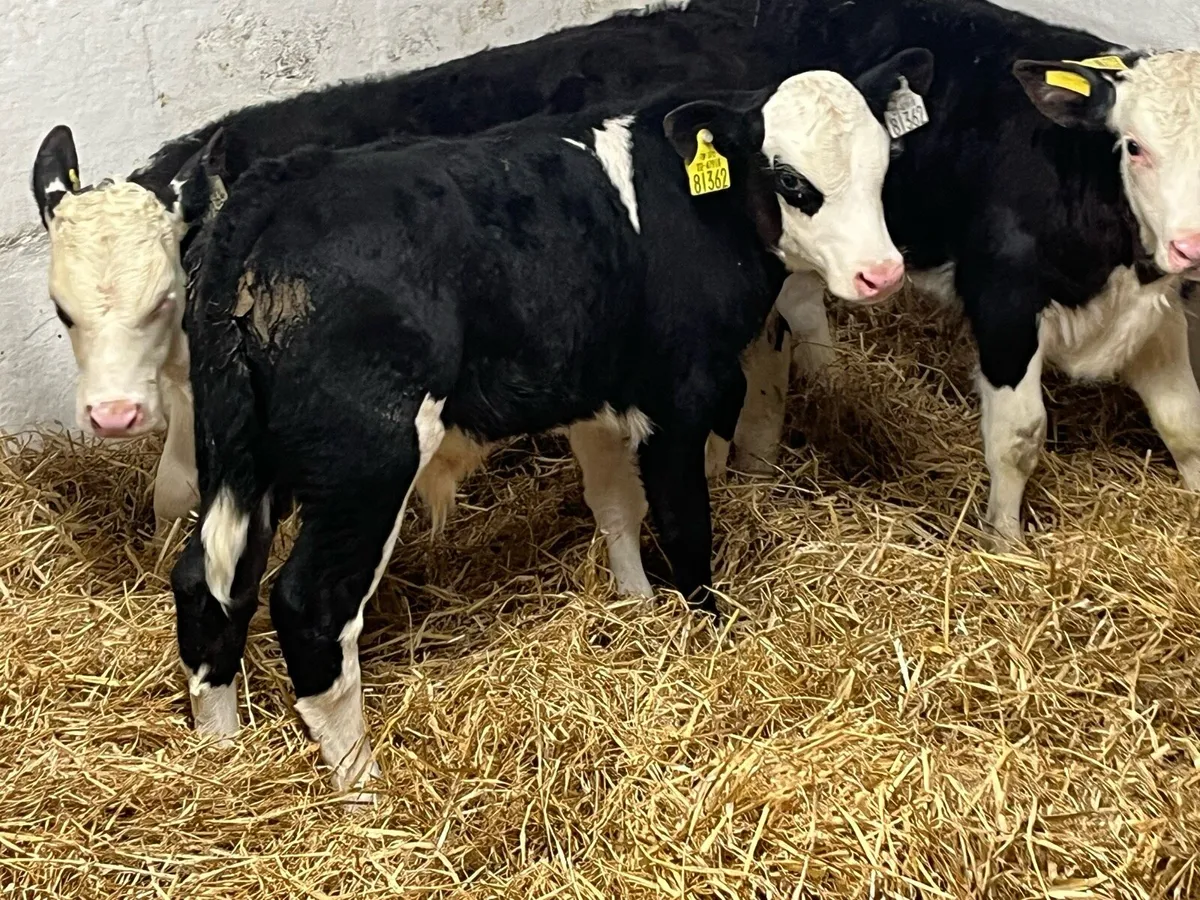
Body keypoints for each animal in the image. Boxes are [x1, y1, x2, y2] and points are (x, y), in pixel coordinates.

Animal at [169, 52, 933, 798]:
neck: (688, 209)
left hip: (241, 457)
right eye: (791, 180)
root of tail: (272, 190)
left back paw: (220, 754)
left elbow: (616, 507)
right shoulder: (681, 395)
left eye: (883, 165)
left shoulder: (596, 392)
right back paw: (363, 789)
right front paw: (709, 634)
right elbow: (684, 525)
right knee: (310, 608)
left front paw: (635, 605)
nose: (882, 273)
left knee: (207, 582)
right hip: (366, 459)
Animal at [740, 0, 1200, 547]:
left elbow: (1184, 422)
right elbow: (1018, 437)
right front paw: (1006, 543)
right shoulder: (1004, 302)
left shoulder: (1154, 305)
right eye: (1134, 146)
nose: (1192, 244)